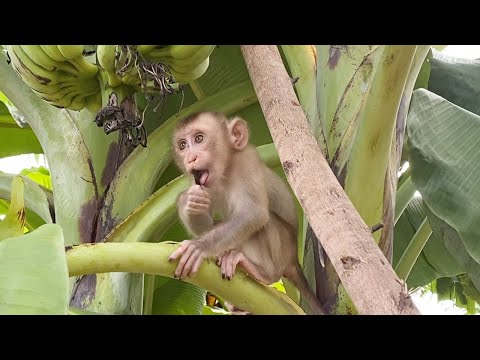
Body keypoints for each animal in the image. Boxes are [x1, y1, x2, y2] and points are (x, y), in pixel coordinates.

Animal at [169, 110, 326, 316]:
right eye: (182, 145)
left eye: (199, 138)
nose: (190, 158)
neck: (226, 171)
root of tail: (294, 260)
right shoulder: (197, 181)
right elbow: (205, 226)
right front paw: (188, 201)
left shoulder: (247, 162)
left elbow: (254, 213)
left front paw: (199, 247)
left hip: (283, 251)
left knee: (266, 222)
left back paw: (262, 273)